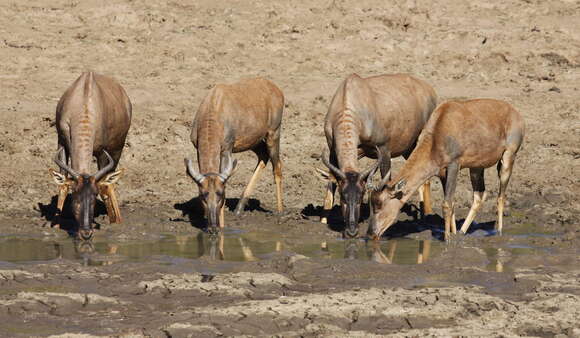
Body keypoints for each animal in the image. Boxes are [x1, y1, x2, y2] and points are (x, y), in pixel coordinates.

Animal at [49, 71, 131, 240]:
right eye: (75, 195)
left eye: (94, 196)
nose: (86, 233)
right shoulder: (61, 141)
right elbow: (63, 185)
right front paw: (56, 225)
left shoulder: (102, 152)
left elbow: (104, 186)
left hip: (117, 147)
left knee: (110, 183)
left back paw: (117, 221)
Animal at [185, 77, 284, 231]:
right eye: (203, 195)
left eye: (220, 193)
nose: (213, 227)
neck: (214, 106)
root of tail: (275, 88)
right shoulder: (198, 149)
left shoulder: (227, 149)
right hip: (253, 141)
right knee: (263, 155)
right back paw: (238, 209)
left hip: (273, 133)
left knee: (277, 167)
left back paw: (280, 213)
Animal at [320, 73, 438, 238]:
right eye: (343, 196)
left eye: (361, 195)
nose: (352, 232)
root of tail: (429, 89)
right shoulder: (332, 151)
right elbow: (331, 183)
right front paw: (323, 220)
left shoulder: (383, 149)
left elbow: (386, 180)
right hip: (407, 149)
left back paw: (427, 215)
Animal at [372, 97, 524, 240]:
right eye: (371, 202)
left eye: (380, 203)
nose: (371, 234)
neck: (441, 125)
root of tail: (514, 112)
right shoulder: (443, 173)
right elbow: (451, 203)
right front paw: (454, 234)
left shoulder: (454, 165)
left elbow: (446, 204)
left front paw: (447, 239)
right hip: (476, 167)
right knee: (479, 195)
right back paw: (462, 232)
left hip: (508, 157)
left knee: (500, 196)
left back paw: (499, 232)